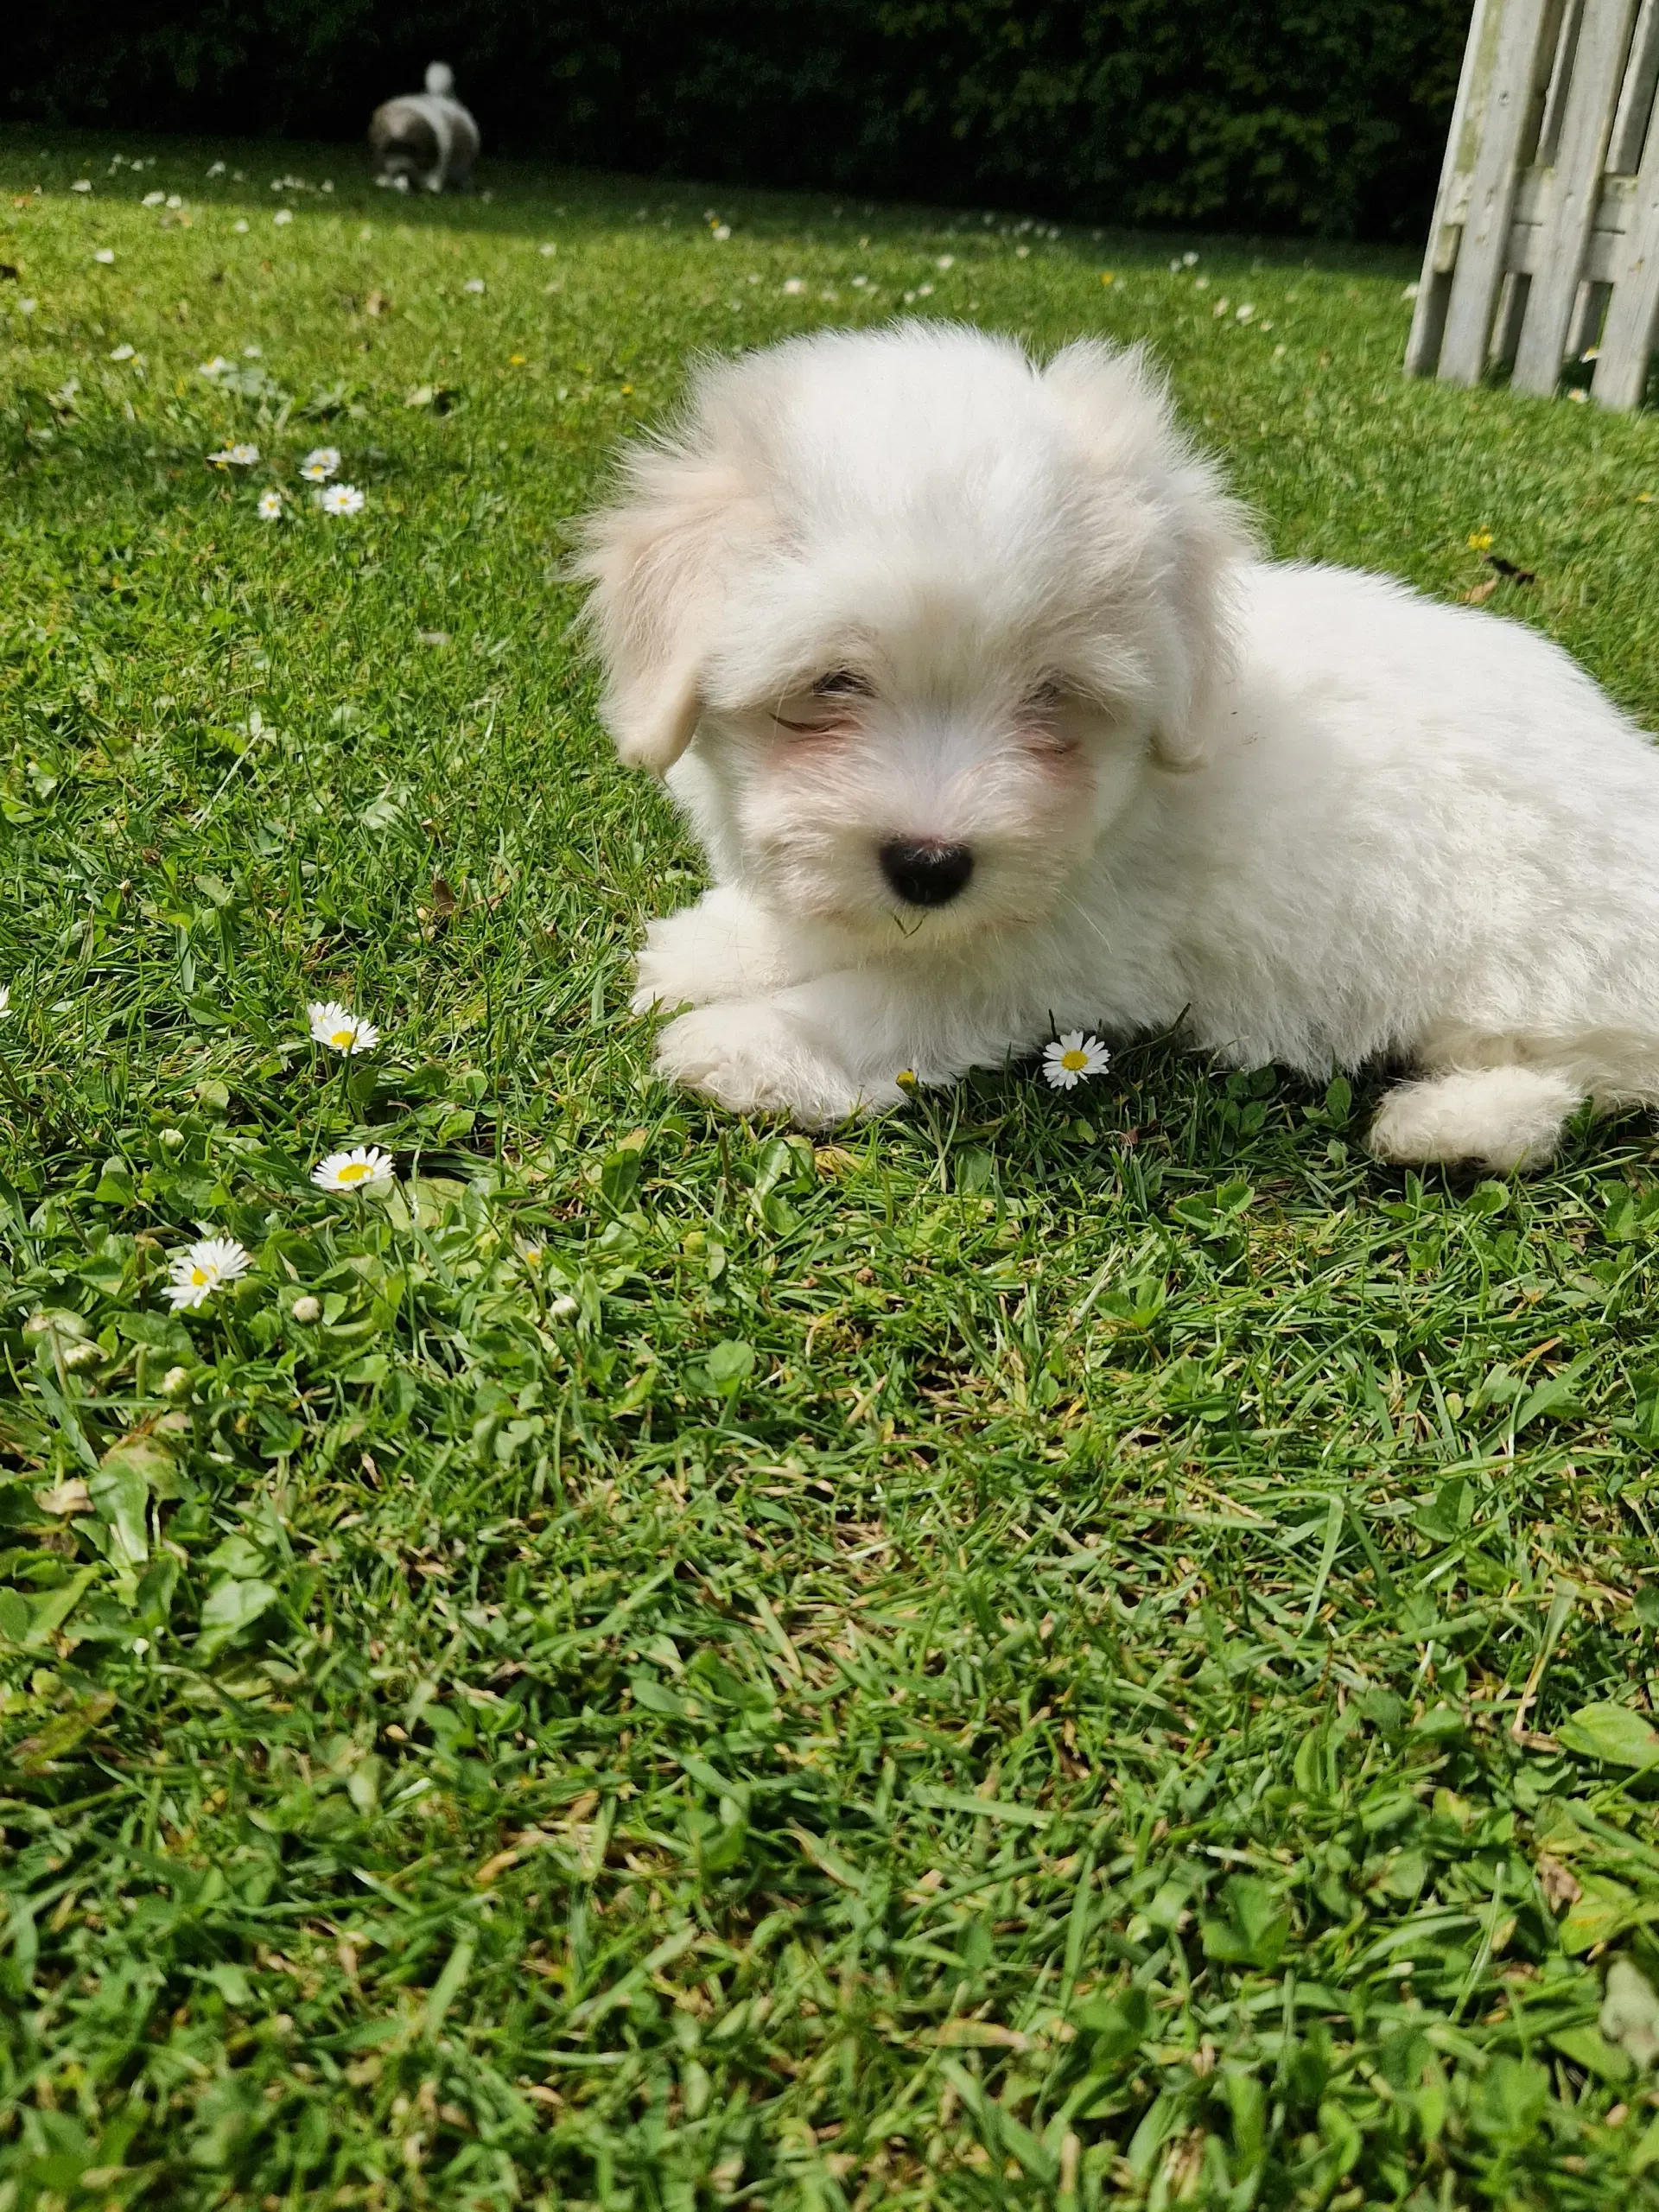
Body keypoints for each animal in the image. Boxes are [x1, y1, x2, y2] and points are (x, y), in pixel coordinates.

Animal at [579, 322, 1659, 1176]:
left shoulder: (1064, 949)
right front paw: (722, 948)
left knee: (1576, 1076)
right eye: (833, 684)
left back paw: (1448, 1125)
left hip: (1532, 960)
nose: (931, 865)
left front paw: (753, 1043)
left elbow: (907, 991)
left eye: (1052, 694)